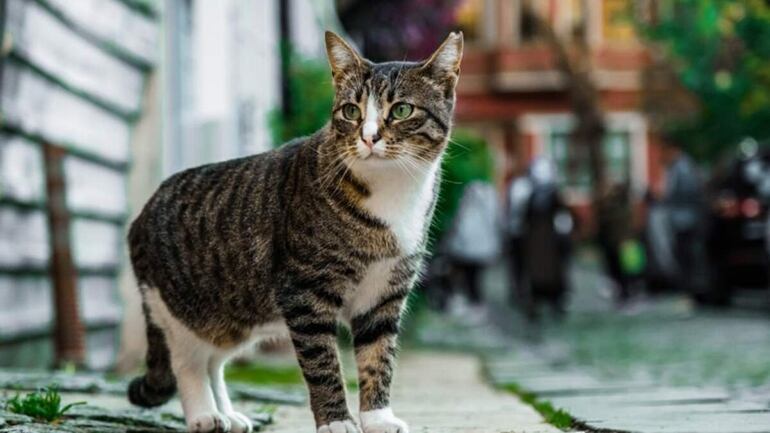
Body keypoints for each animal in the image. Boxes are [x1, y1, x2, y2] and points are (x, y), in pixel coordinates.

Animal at [127, 31, 462, 432]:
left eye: (401, 111)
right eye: (351, 111)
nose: (368, 138)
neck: (391, 192)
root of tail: (140, 215)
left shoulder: (385, 294)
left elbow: (378, 358)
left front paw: (378, 418)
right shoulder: (305, 291)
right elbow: (324, 364)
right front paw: (337, 421)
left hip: (232, 316)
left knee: (214, 361)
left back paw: (228, 414)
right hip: (180, 308)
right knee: (188, 360)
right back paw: (206, 415)